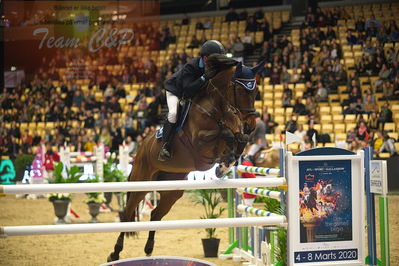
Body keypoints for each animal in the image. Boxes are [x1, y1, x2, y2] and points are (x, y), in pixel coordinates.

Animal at [108, 54, 268, 262]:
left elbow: (239, 139)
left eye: (255, 90)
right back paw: (115, 253)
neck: (217, 108)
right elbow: (225, 134)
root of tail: (142, 146)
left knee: (155, 214)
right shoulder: (199, 144)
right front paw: (223, 163)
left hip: (173, 190)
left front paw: (224, 165)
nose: (251, 125)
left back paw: (149, 249)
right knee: (128, 214)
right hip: (141, 182)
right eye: (240, 89)